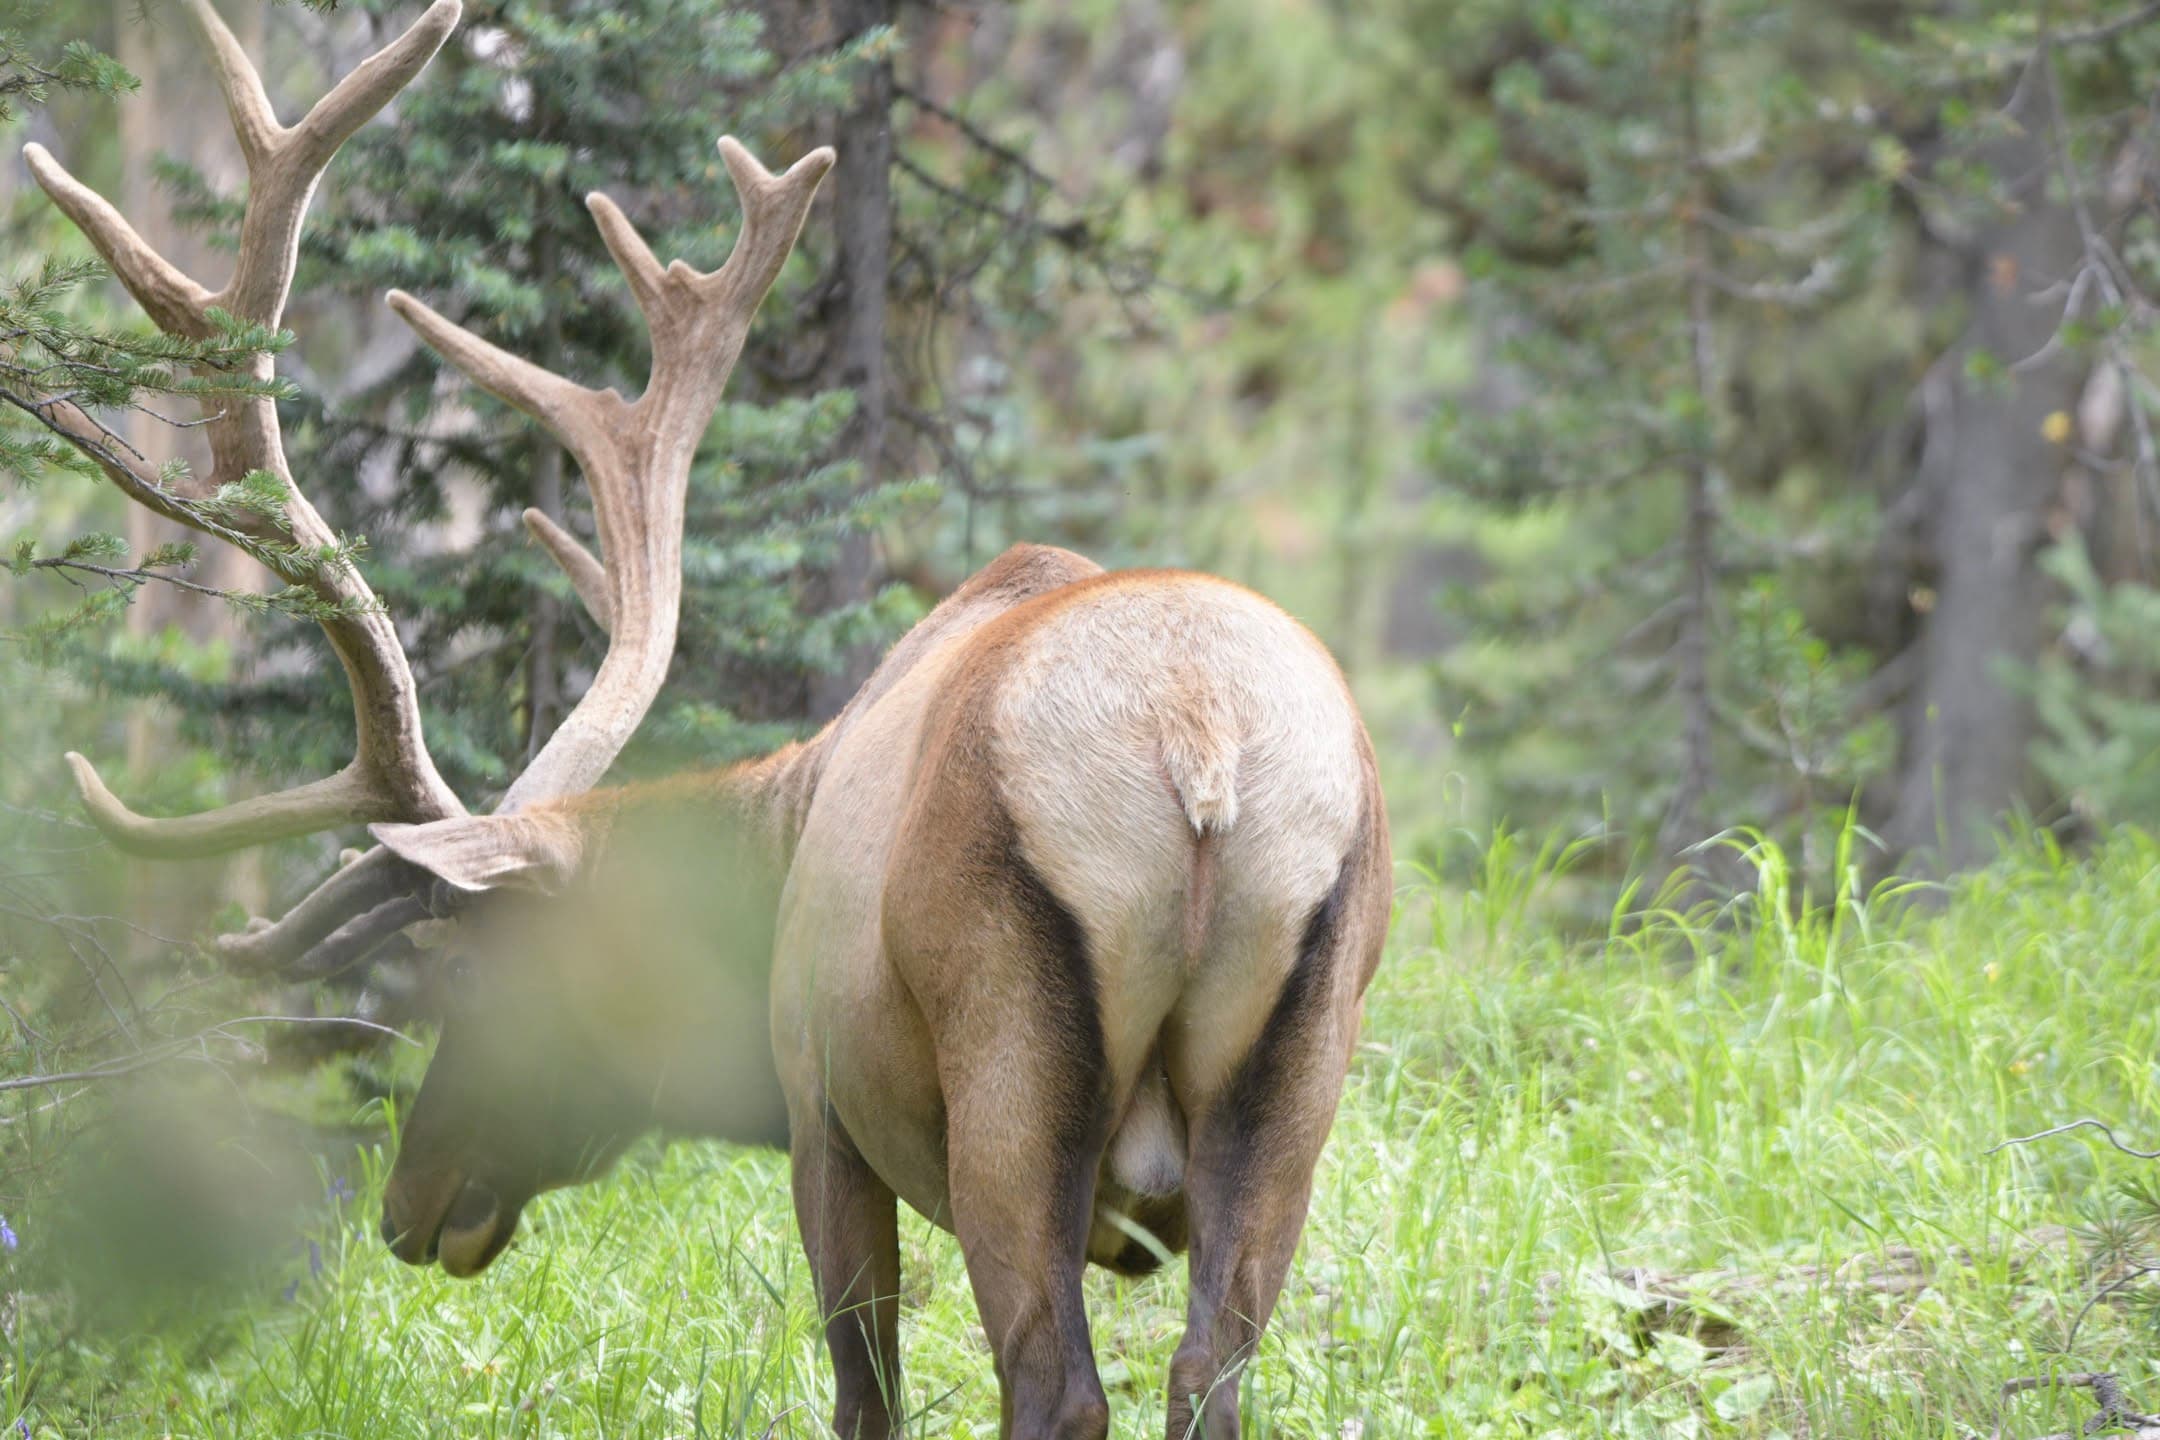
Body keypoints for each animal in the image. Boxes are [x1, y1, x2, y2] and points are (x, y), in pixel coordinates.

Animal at [20, 5, 1393, 1438]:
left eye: (473, 973)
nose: (408, 1206)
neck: (771, 840)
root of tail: (1201, 745)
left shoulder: (820, 1110)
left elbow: (864, 1392)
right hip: (1296, 1090)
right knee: (1208, 1373)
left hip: (1008, 1083)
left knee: (1056, 1387)